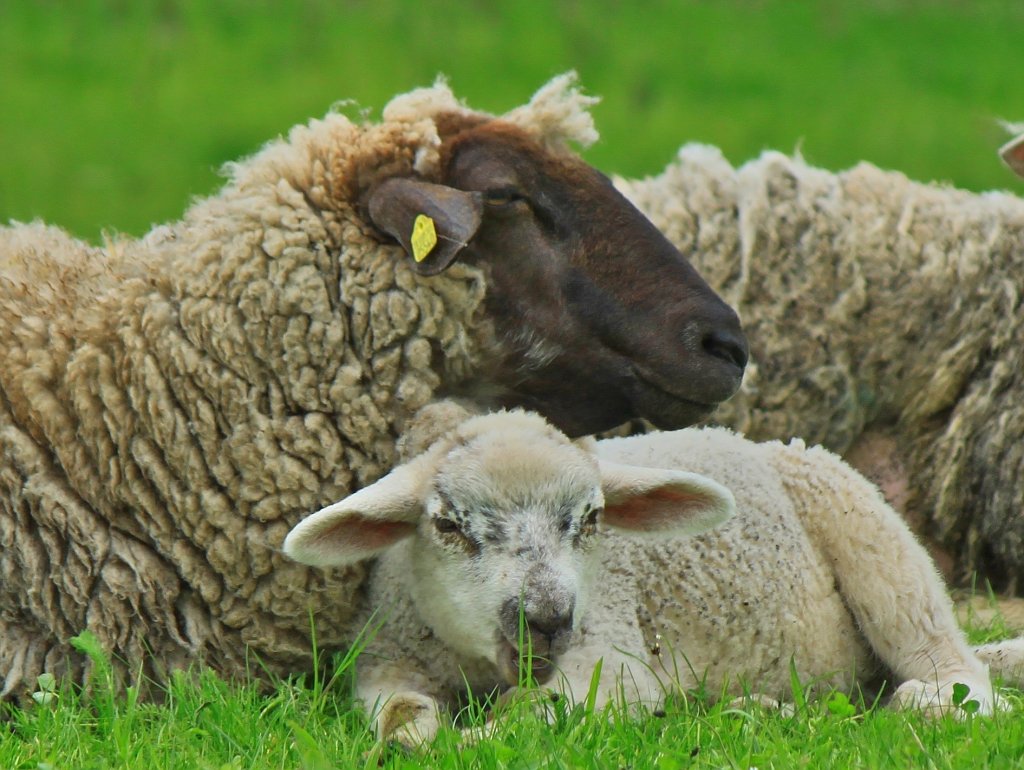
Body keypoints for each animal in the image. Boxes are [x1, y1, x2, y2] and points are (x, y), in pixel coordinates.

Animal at [282, 403, 1024, 745]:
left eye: (591, 520)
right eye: (448, 525)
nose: (548, 620)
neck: (475, 660)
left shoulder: (610, 658)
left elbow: (530, 716)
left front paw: (472, 740)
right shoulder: (386, 662)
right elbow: (398, 711)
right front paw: (415, 736)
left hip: (874, 539)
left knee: (955, 667)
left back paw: (930, 702)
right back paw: (751, 708)